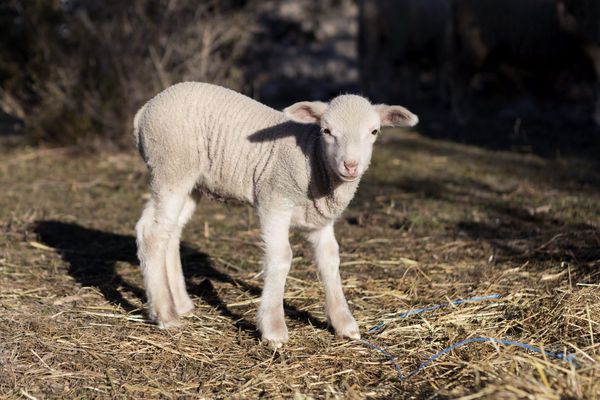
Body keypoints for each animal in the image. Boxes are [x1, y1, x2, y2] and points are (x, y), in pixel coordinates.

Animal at [134, 82, 420, 346]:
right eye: (326, 131)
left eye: (374, 131)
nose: (350, 165)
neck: (312, 156)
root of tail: (144, 109)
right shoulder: (274, 201)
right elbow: (282, 257)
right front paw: (273, 327)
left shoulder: (320, 218)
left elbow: (330, 259)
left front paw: (343, 322)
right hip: (171, 166)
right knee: (154, 234)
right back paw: (165, 314)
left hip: (190, 181)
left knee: (164, 230)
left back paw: (181, 303)